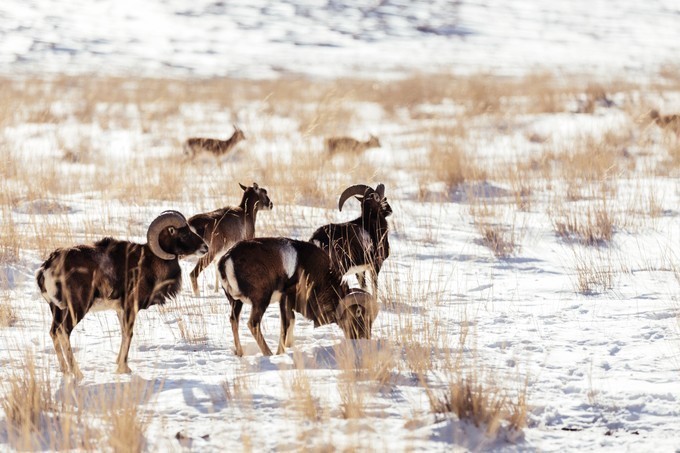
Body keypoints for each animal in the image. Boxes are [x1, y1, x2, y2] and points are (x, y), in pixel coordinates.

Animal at [35, 210, 206, 380]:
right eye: (184, 234)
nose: (205, 247)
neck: (149, 262)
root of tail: (48, 267)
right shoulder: (131, 306)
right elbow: (129, 334)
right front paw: (123, 368)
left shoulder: (120, 310)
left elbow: (124, 333)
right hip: (76, 309)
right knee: (63, 332)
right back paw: (77, 373)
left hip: (57, 310)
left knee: (54, 332)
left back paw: (65, 370)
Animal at [218, 237, 378, 356]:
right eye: (360, 316)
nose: (364, 340)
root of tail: (227, 260)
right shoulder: (285, 298)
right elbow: (286, 325)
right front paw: (280, 353)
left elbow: (291, 321)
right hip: (261, 301)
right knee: (253, 324)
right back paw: (268, 354)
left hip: (236, 302)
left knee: (234, 320)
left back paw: (240, 353)